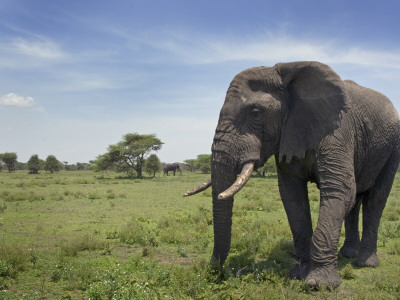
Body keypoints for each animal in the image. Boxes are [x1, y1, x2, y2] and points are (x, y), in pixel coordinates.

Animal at [185, 61, 400, 288]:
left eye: (256, 112)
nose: (213, 269)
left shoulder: (338, 133)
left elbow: (339, 191)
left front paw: (320, 284)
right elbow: (292, 197)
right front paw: (299, 274)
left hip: (393, 147)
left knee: (375, 200)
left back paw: (366, 263)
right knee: (356, 202)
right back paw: (348, 255)